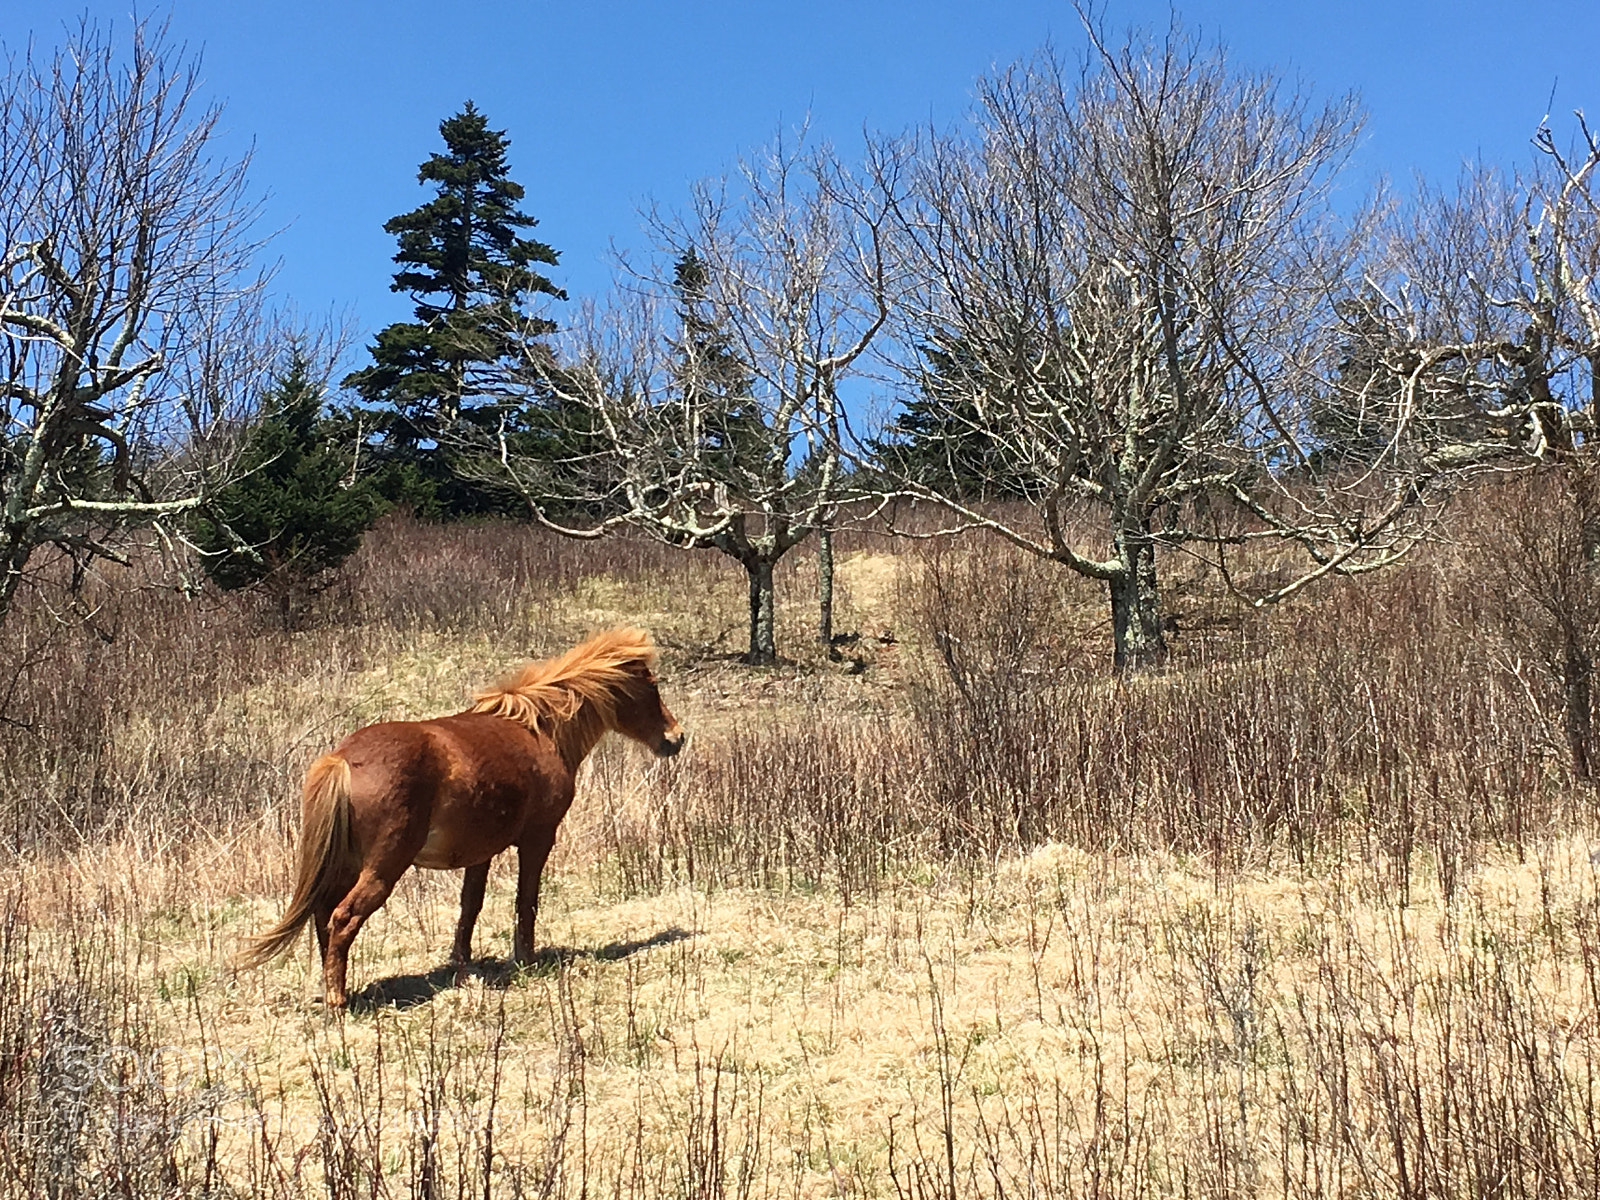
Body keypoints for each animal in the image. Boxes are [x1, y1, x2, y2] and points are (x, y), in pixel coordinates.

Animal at [238, 627, 684, 1008]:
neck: (540, 732)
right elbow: (526, 901)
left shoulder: (479, 855)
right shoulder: (538, 839)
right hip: (382, 867)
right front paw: (525, 959)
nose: (676, 738)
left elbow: (470, 906)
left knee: (323, 917)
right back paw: (338, 1001)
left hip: (347, 864)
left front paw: (463, 968)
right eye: (651, 686)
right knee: (343, 918)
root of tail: (344, 759)